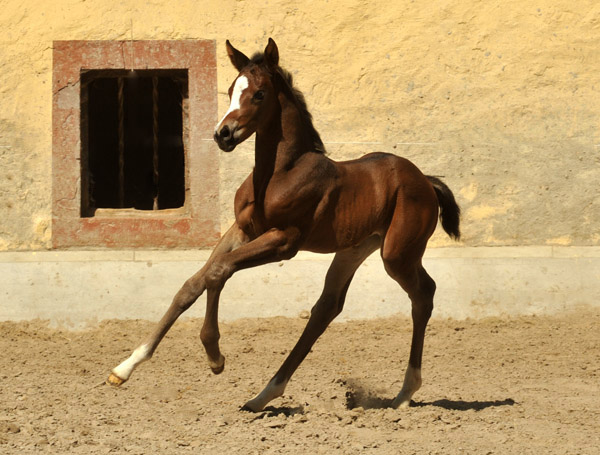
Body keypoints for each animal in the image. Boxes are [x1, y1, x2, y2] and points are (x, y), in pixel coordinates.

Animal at [108, 39, 462, 414]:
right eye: (232, 89)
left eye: (259, 94)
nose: (223, 134)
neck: (279, 172)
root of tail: (426, 180)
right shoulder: (242, 230)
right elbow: (195, 282)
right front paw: (125, 367)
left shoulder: (284, 240)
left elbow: (218, 271)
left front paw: (215, 356)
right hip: (354, 249)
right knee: (327, 307)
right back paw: (264, 395)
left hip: (397, 253)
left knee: (423, 294)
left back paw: (405, 392)